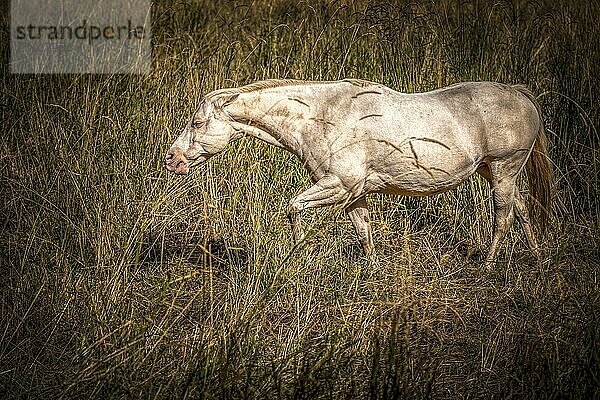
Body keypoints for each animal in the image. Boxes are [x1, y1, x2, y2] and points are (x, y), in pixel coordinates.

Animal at [166, 79, 552, 264]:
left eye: (197, 122)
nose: (172, 159)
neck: (323, 116)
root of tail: (519, 94)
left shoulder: (339, 185)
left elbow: (293, 209)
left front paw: (297, 255)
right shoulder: (355, 194)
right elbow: (364, 232)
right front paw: (372, 272)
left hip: (503, 168)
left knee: (503, 216)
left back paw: (488, 265)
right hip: (494, 172)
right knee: (521, 209)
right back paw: (536, 258)